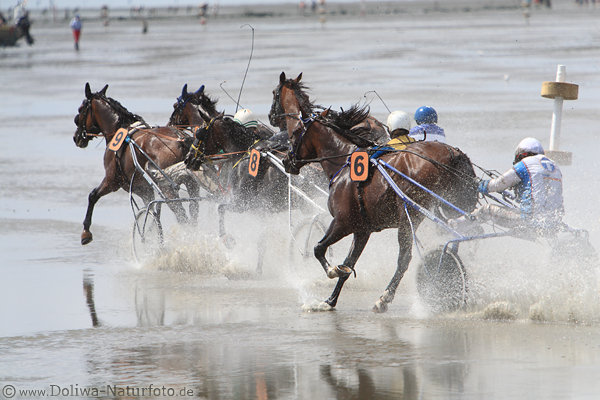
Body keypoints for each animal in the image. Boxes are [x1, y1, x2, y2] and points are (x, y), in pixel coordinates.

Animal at [73, 83, 200, 245]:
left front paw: (85, 233)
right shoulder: (145, 190)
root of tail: (181, 139)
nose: (76, 137)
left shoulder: (112, 181)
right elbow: (152, 212)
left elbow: (92, 195)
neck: (119, 130)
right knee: (193, 210)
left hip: (167, 188)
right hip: (192, 183)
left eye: (80, 110)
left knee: (182, 215)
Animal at [268, 73, 478, 314]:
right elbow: (349, 262)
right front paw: (330, 300)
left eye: (294, 134)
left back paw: (387, 297)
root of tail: (453, 153)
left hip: (410, 215)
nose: (286, 161)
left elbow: (319, 249)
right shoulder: (362, 229)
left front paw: (333, 271)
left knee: (405, 258)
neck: (343, 158)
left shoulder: (342, 222)